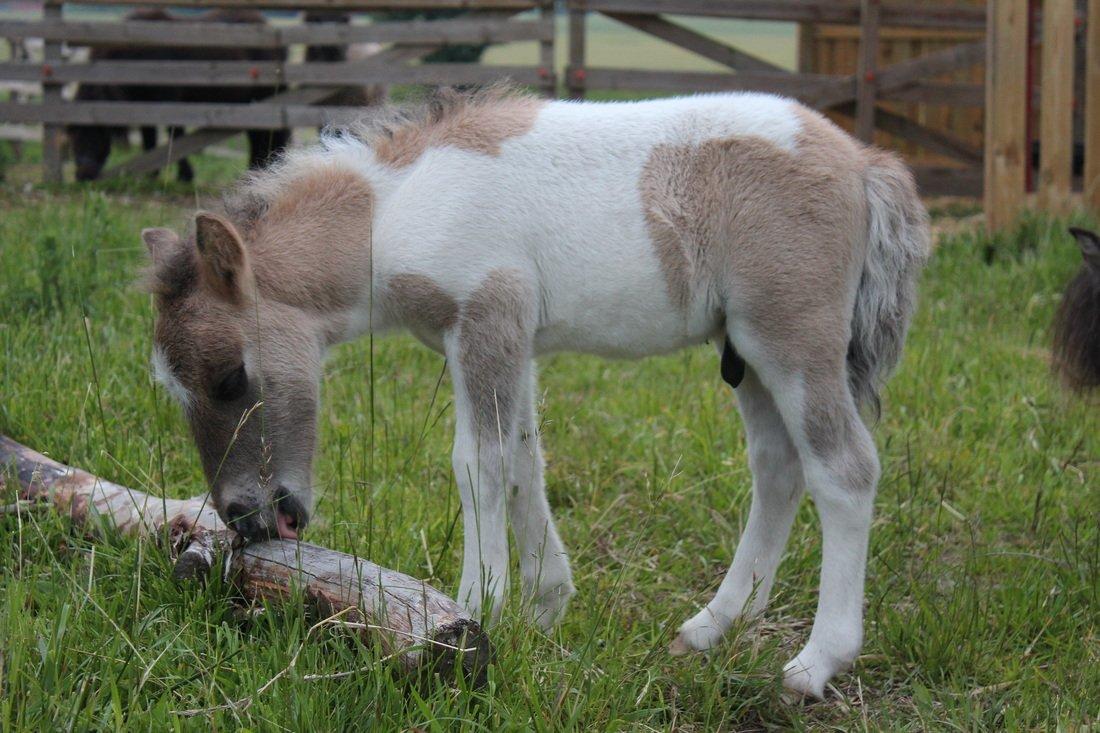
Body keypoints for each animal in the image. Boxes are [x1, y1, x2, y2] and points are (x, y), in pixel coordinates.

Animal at [67, 7, 292, 181]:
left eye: (96, 131)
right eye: (73, 134)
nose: (82, 174)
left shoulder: (168, 103)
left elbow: (173, 137)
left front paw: (182, 175)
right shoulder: (145, 107)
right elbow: (149, 139)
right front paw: (153, 174)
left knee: (262, 136)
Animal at [146, 86, 932, 695]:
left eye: (229, 376)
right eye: (173, 387)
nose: (245, 516)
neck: (397, 209)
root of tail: (863, 161)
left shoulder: (486, 319)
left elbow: (478, 464)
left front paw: (473, 607)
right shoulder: (512, 340)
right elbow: (525, 460)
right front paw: (545, 606)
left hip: (791, 336)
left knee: (844, 470)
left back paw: (815, 663)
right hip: (744, 349)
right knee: (778, 469)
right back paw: (711, 628)